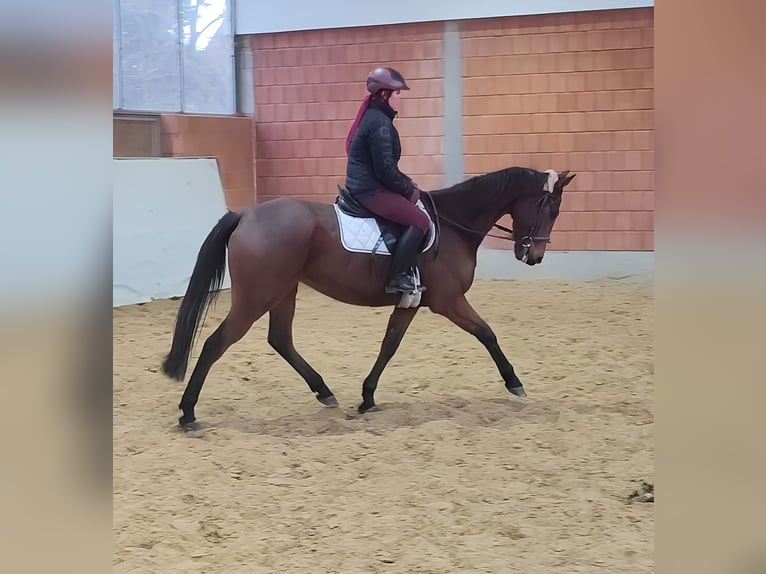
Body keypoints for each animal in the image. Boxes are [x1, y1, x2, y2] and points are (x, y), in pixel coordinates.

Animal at [162, 166, 576, 428]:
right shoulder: (449, 302)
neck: (454, 226)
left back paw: (324, 391)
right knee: (216, 344)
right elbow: (487, 333)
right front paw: (514, 382)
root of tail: (245, 215)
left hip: (283, 292)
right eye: (552, 208)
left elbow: (389, 346)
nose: (534, 256)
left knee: (280, 339)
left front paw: (367, 397)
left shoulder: (412, 304)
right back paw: (187, 413)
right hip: (255, 298)